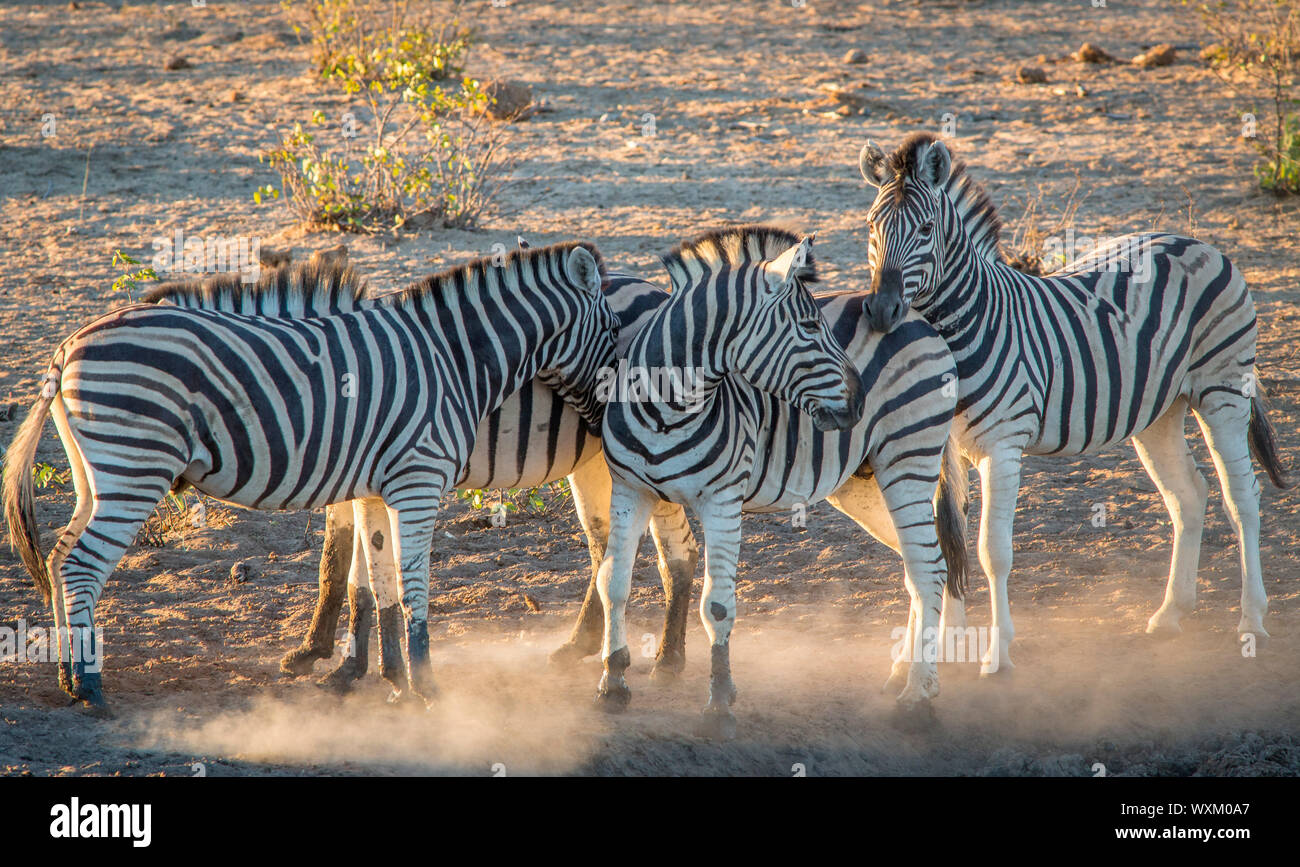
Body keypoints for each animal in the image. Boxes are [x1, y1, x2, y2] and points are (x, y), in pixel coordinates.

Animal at [4, 242, 620, 712]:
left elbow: (375, 582)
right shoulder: (417, 480)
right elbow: (407, 585)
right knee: (79, 564)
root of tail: (67, 347)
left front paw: (390, 680)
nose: (606, 421)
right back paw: (88, 685)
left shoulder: (375, 486)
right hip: (132, 472)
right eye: (614, 333)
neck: (452, 358)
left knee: (58, 558)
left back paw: (67, 676)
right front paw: (423, 686)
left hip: (98, 476)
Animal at [593, 225, 966, 737]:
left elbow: (717, 605)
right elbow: (613, 581)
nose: (857, 404)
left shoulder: (722, 500)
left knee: (929, 569)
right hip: (866, 484)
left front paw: (720, 704)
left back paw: (917, 697)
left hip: (908, 458)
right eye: (808, 327)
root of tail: (918, 319)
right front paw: (612, 684)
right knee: (918, 566)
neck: (666, 411)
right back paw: (905, 675)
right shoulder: (630, 488)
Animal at [857, 132, 1290, 675]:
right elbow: (936, 541)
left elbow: (991, 551)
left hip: (1223, 390)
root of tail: (1198, 242)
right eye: (871, 227)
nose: (880, 311)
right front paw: (928, 650)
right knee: (1188, 494)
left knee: (1243, 497)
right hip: (1159, 410)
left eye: (925, 229)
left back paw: (1251, 620)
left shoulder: (1002, 446)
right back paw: (1171, 613)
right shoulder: (935, 449)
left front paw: (996, 656)